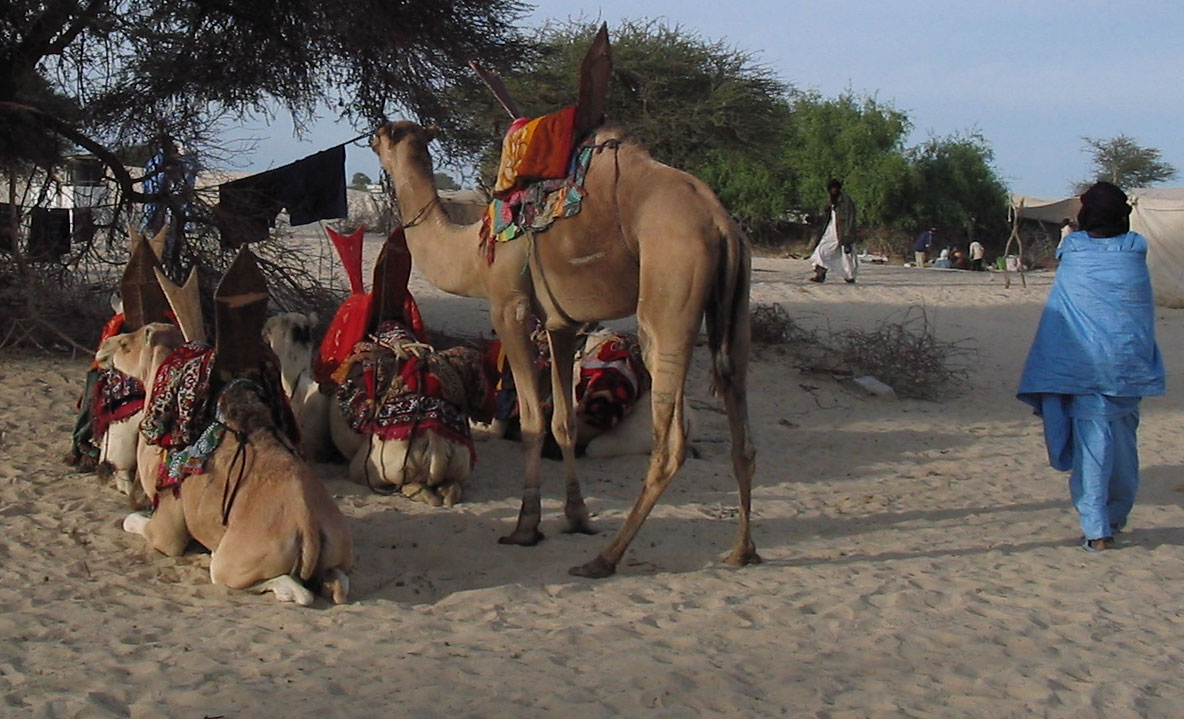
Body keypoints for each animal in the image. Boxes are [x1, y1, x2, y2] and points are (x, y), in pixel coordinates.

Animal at [371, 119, 757, 580]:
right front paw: (576, 516)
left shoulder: (509, 308)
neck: (473, 253)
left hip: (669, 292)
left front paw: (526, 526)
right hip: (735, 303)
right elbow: (564, 422)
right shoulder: (561, 324)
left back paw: (605, 558)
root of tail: (720, 222)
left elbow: (533, 421)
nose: (372, 137)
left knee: (668, 446)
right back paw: (742, 551)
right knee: (740, 422)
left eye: (386, 133)